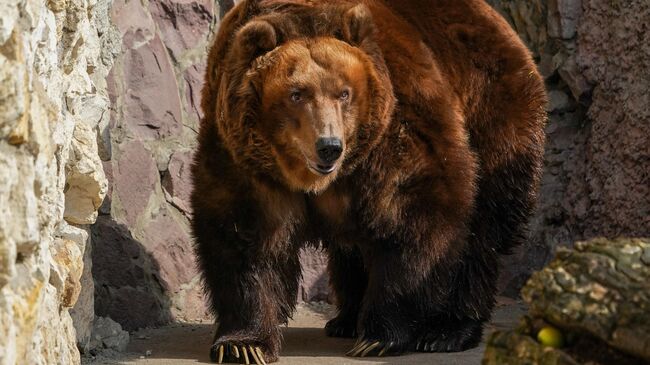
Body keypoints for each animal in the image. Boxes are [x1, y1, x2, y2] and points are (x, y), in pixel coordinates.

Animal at [190, 0, 544, 362]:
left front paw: (380, 336)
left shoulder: (393, 131)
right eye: (297, 94)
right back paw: (345, 319)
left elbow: (413, 215)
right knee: (351, 247)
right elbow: (246, 239)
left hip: (490, 113)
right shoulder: (245, 159)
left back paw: (447, 330)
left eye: (344, 93)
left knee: (481, 230)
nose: (329, 146)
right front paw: (243, 344)